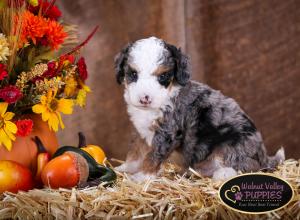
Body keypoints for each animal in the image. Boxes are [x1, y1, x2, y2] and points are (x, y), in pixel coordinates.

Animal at [113, 36, 284, 182]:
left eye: (162, 76)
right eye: (133, 74)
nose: (145, 98)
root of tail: (265, 157)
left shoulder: (167, 132)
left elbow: (153, 156)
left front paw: (142, 177)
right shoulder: (141, 131)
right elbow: (136, 152)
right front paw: (125, 168)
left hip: (232, 144)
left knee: (242, 166)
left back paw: (222, 174)